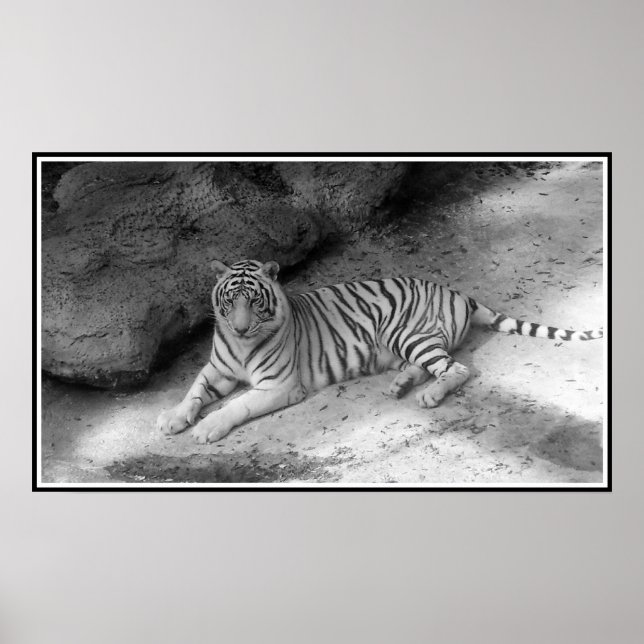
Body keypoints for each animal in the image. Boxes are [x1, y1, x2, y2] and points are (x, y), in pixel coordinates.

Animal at [156, 259, 603, 444]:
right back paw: (401, 384)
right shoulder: (217, 369)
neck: (241, 344)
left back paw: (428, 396)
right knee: (429, 366)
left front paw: (206, 428)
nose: (240, 326)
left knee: (456, 369)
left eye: (255, 301)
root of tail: (459, 293)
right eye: (230, 301)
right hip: (405, 342)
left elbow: (236, 405)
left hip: (407, 332)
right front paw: (172, 419)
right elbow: (193, 392)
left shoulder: (278, 385)